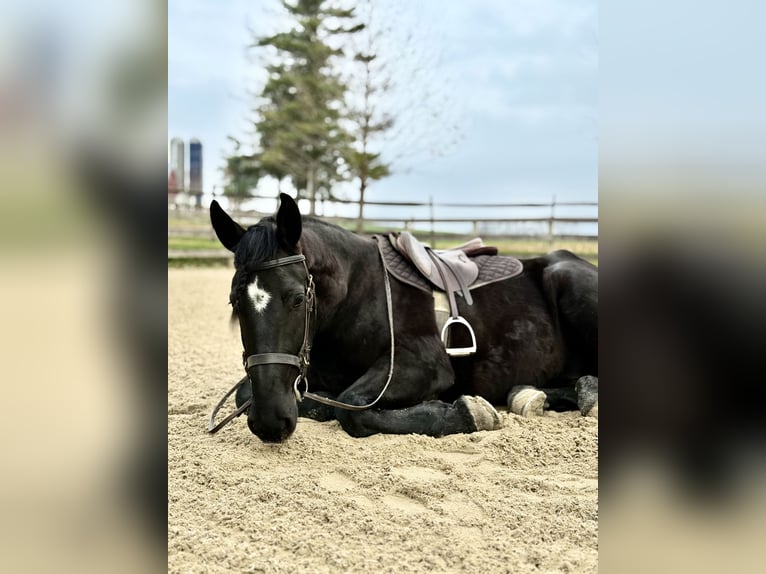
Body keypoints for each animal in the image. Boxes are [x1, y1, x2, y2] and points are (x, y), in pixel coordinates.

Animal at [210, 193, 598, 443]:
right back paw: (530, 394)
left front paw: (466, 412)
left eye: (298, 298)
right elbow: (247, 392)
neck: (358, 293)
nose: (270, 421)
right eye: (234, 302)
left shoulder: (424, 363)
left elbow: (352, 407)